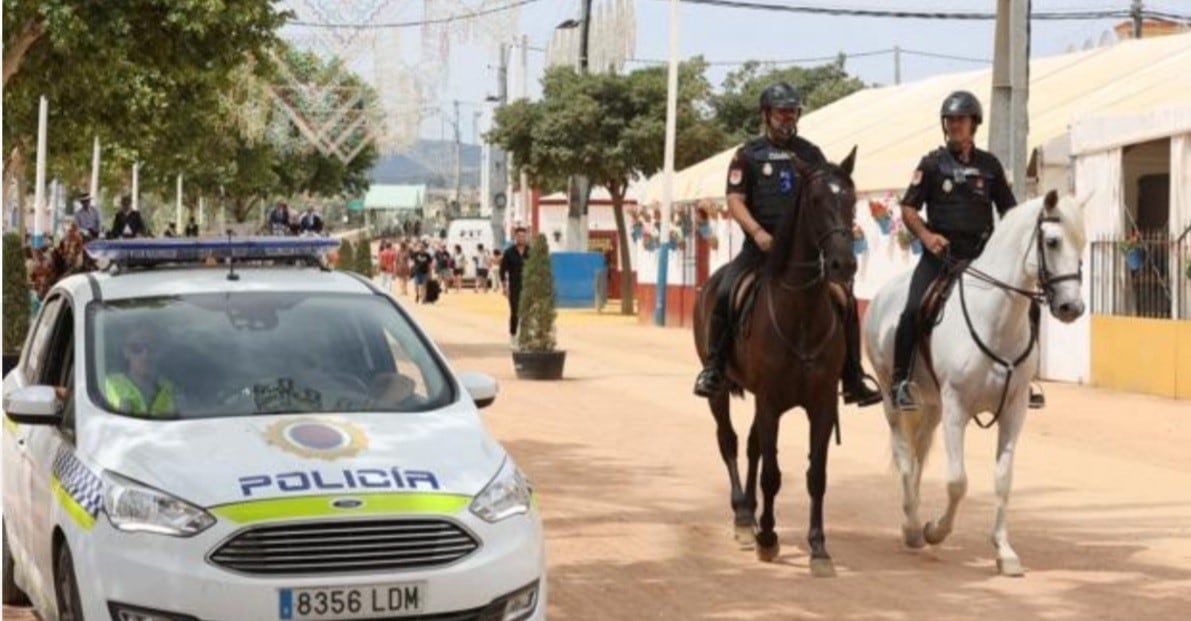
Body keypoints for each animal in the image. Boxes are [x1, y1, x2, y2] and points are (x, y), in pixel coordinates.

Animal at [695, 147, 862, 574]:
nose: (843, 265)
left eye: (852, 200)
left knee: (753, 444)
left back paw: (753, 515)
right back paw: (743, 517)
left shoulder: (821, 404)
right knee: (730, 441)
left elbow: (816, 475)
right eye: (816, 201)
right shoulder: (771, 401)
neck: (801, 315)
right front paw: (768, 539)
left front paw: (818, 547)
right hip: (720, 392)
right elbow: (772, 472)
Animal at [867, 189, 1090, 576]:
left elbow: (1003, 480)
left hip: (932, 405)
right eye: (1052, 241)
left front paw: (1005, 551)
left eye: (1083, 244)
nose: (1071, 308)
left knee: (919, 450)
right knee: (904, 453)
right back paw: (912, 527)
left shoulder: (1014, 409)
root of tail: (881, 296)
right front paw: (935, 530)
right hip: (892, 397)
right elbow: (957, 481)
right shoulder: (957, 408)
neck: (997, 319)